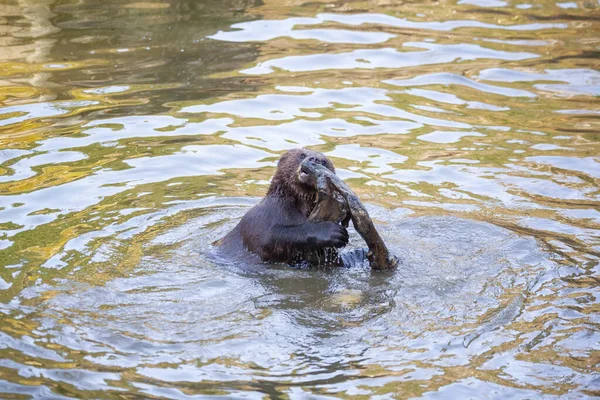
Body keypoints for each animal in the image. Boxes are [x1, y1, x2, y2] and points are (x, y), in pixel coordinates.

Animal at [220, 148, 350, 264]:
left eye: (324, 161)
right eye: (302, 155)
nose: (315, 159)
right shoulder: (259, 220)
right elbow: (273, 238)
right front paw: (332, 232)